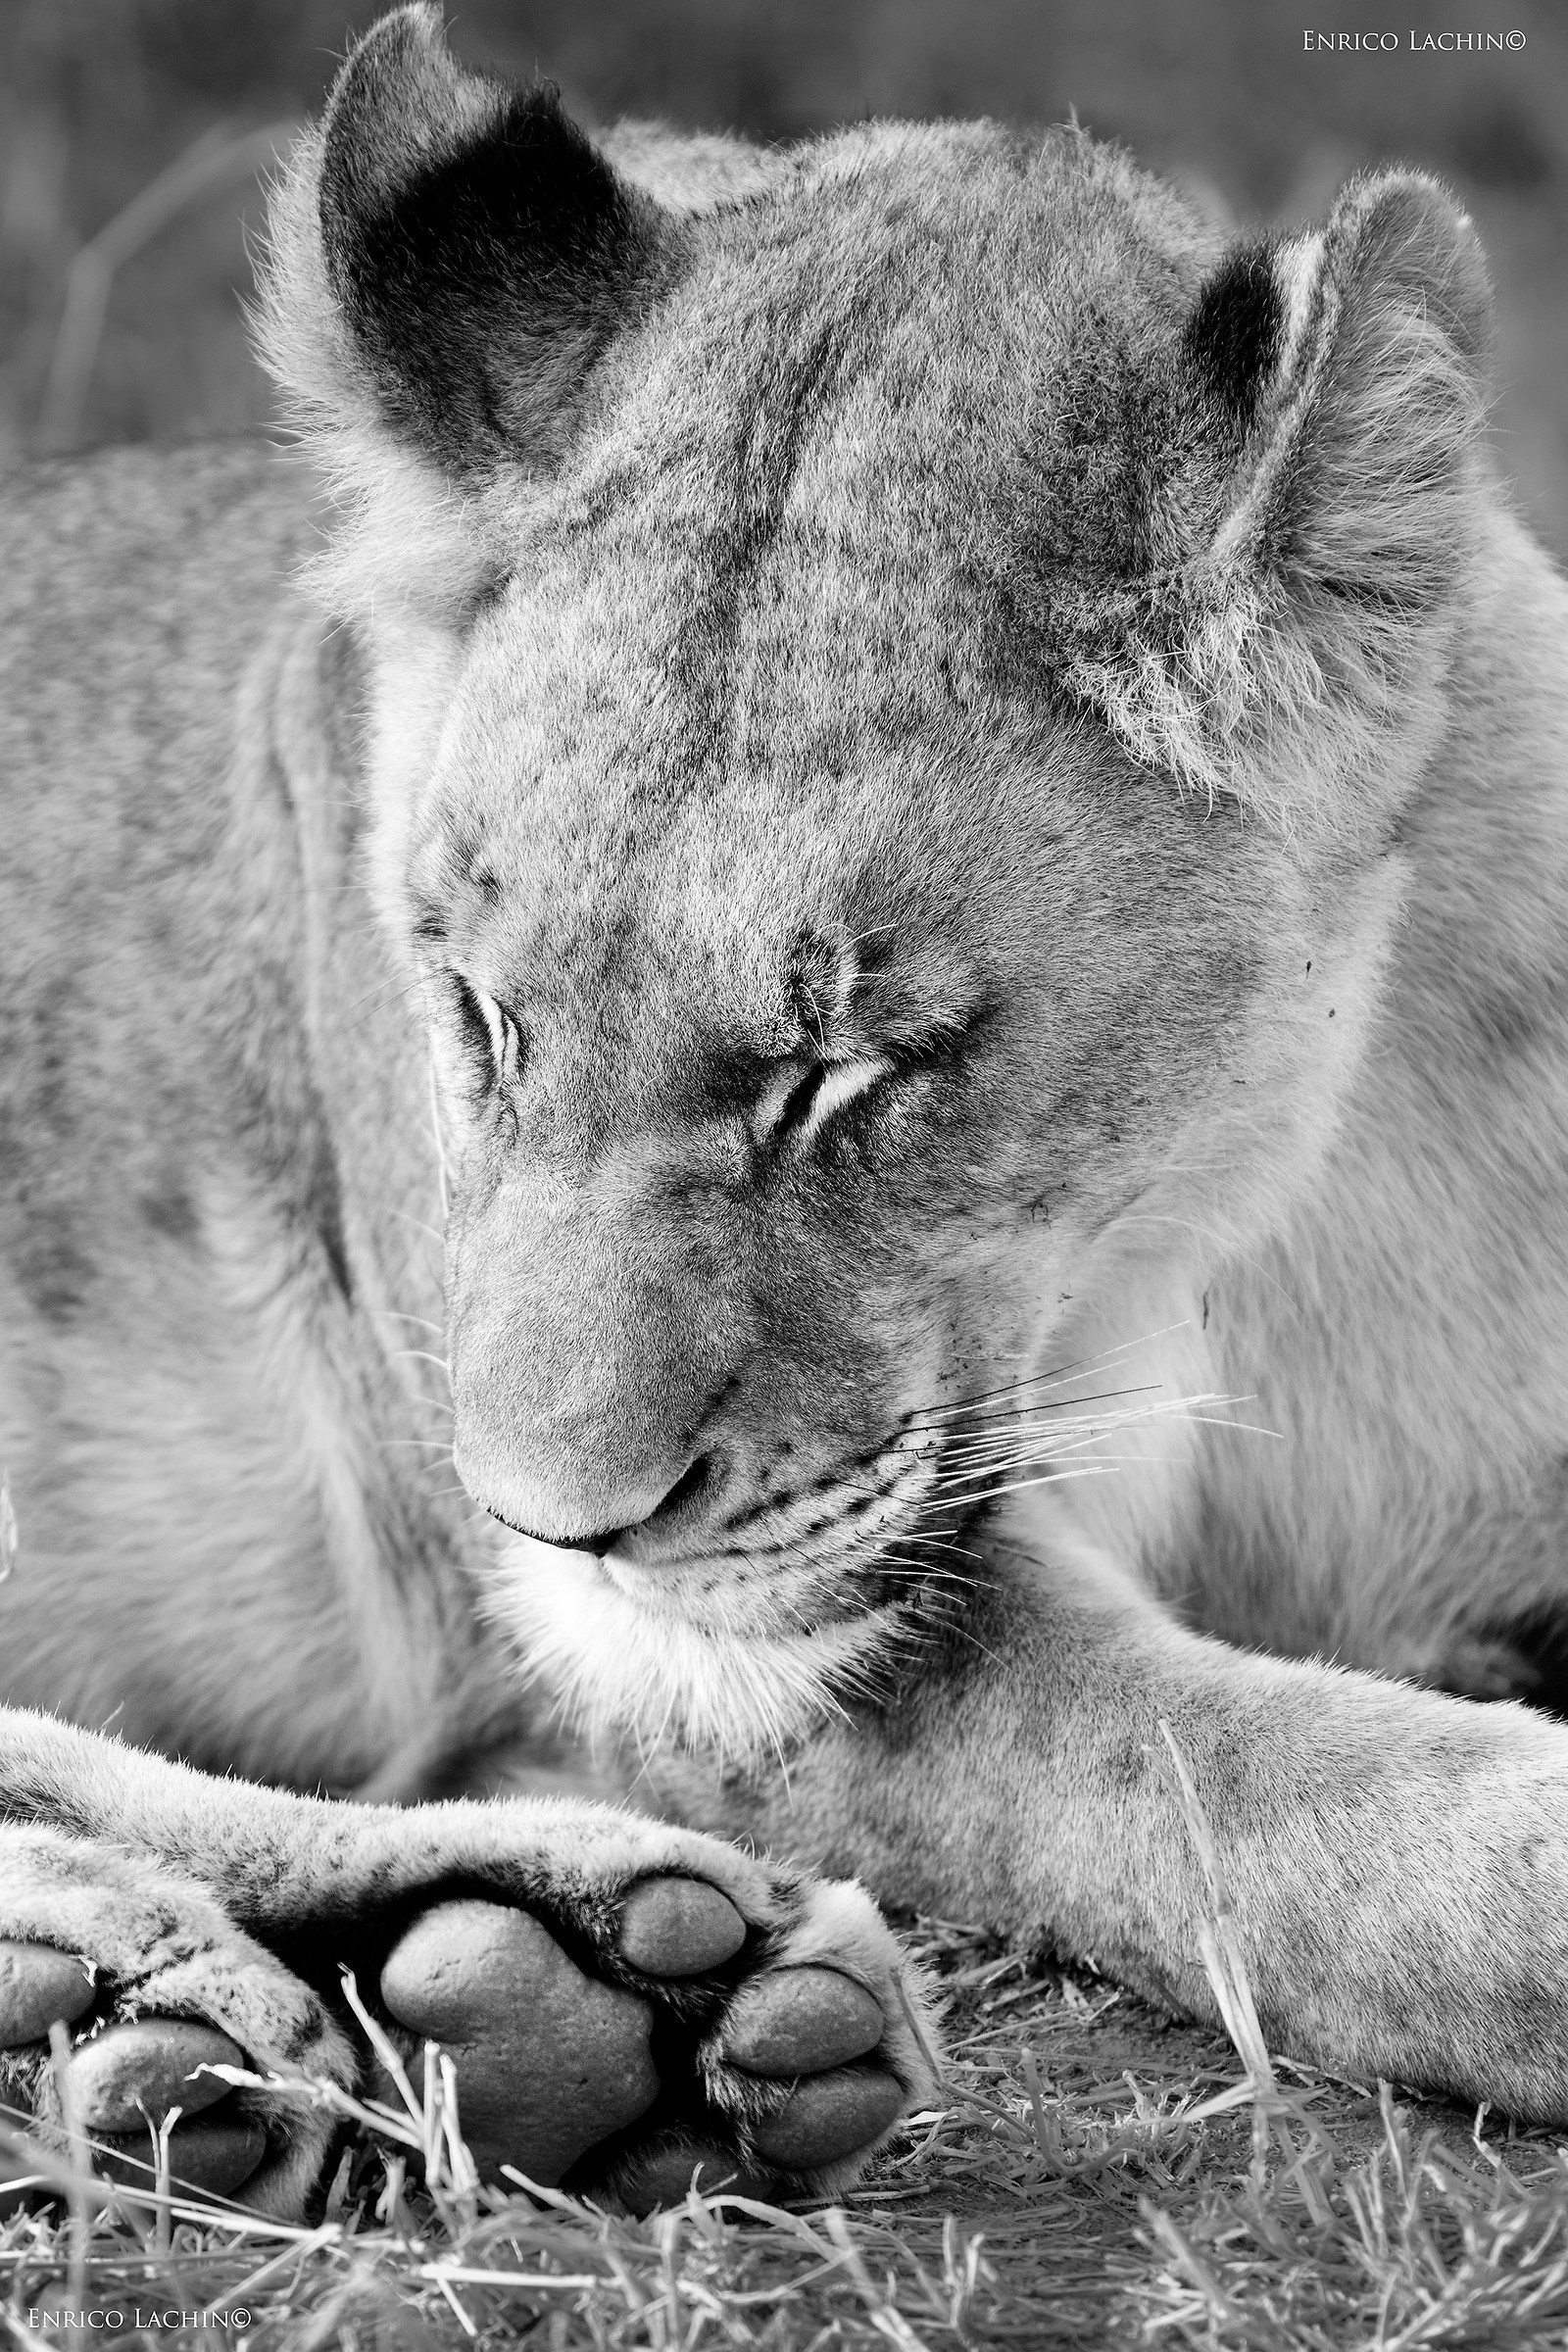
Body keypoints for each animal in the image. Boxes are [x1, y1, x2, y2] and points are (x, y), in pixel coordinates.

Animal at [2, 0, 1567, 2217]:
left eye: (844, 1072)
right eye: (478, 1015)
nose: (549, 1528)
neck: (1237, 1217)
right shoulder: (748, 1674)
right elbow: (1266, 1792)